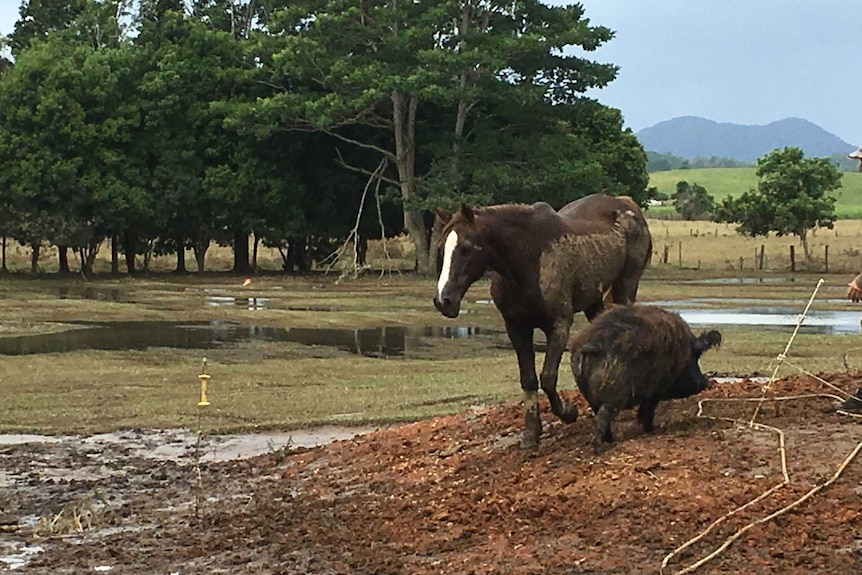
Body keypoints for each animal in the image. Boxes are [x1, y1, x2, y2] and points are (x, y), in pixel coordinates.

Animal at [436, 196, 652, 448]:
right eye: (440, 248)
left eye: (465, 248)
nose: (443, 300)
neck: (527, 258)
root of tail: (626, 203)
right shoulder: (517, 328)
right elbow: (529, 379)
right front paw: (531, 433)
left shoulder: (559, 326)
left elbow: (548, 377)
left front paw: (568, 412)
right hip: (594, 301)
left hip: (626, 285)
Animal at [572, 304, 724, 452]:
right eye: (695, 357)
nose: (705, 383)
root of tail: (592, 345)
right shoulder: (655, 390)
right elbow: (649, 409)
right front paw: (650, 430)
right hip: (612, 394)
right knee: (602, 419)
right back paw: (599, 448)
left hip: (588, 394)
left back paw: (611, 441)